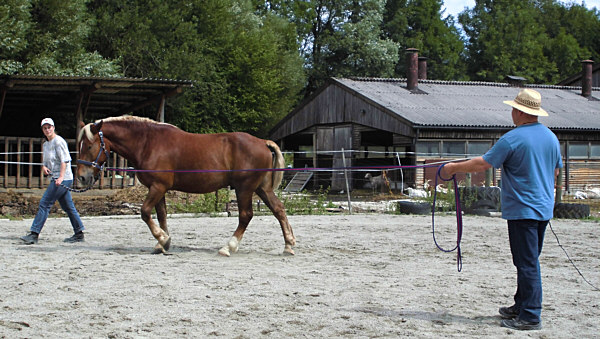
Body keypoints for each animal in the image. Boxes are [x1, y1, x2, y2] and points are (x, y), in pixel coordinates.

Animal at [76, 115, 296, 256]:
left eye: (89, 145)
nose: (82, 177)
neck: (148, 143)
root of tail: (263, 142)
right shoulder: (159, 189)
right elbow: (162, 216)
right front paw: (162, 243)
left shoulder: (158, 187)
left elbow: (145, 212)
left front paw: (163, 239)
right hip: (261, 188)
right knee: (279, 209)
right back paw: (288, 245)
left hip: (244, 189)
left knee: (246, 216)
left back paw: (228, 247)